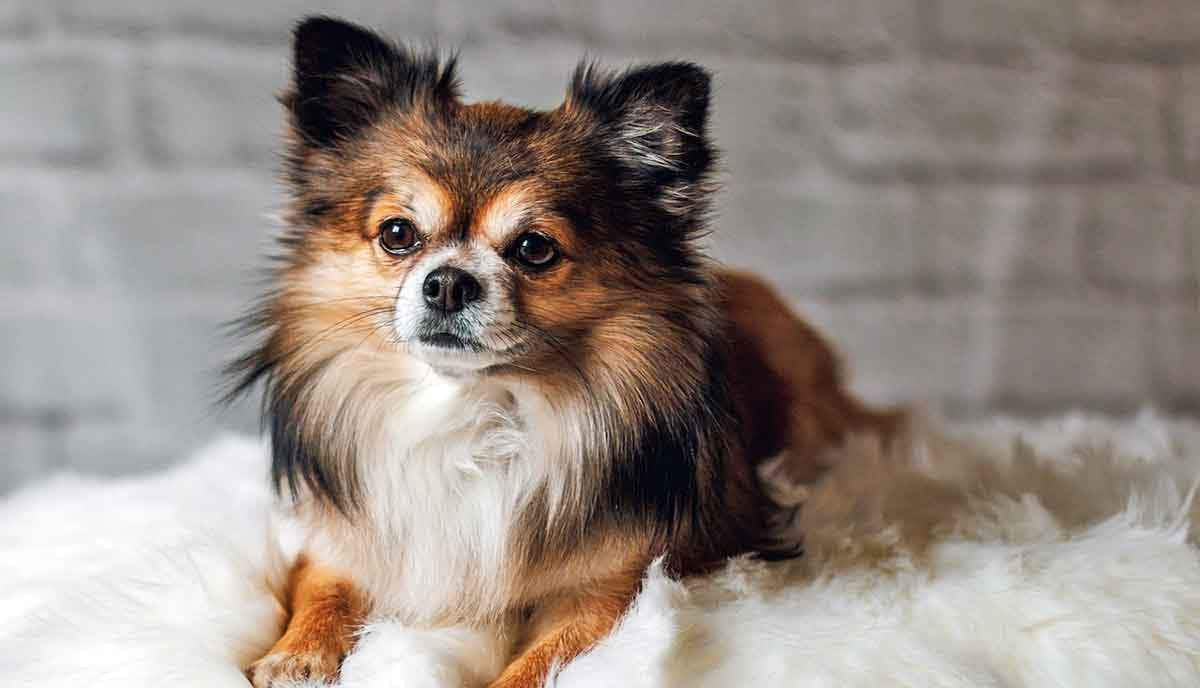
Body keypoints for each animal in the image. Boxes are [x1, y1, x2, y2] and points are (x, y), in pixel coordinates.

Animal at [229, 17, 897, 686]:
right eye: (398, 234)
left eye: (534, 248)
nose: (447, 282)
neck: (474, 410)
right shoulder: (348, 548)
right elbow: (323, 593)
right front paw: (297, 653)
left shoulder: (607, 593)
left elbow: (534, 667)